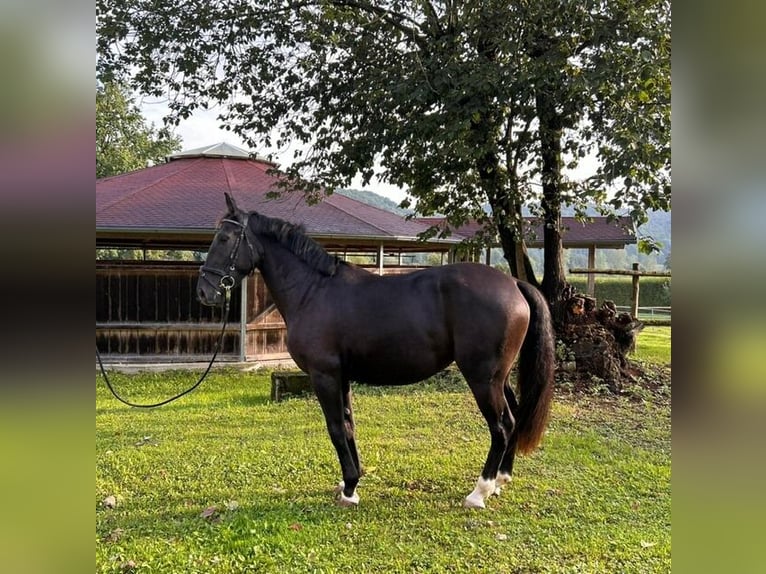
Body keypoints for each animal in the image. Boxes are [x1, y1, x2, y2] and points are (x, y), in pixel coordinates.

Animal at [198, 196, 556, 510]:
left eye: (224, 238)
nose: (205, 292)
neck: (313, 292)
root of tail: (513, 284)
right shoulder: (341, 377)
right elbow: (348, 426)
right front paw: (350, 481)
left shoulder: (324, 376)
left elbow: (335, 429)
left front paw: (349, 490)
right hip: (498, 377)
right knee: (514, 415)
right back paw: (500, 481)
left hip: (481, 378)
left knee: (501, 426)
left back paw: (479, 492)